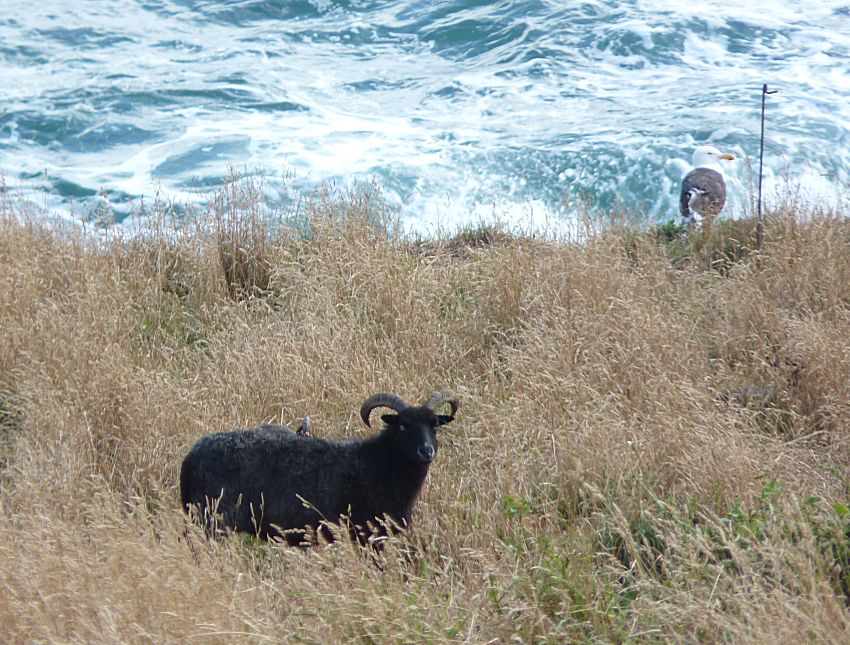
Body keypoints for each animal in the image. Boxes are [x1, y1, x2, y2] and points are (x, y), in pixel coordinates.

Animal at [179, 388, 458, 544]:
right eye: (403, 426)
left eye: (434, 425)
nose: (426, 450)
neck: (380, 462)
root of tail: (191, 456)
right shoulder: (367, 534)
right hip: (212, 521)